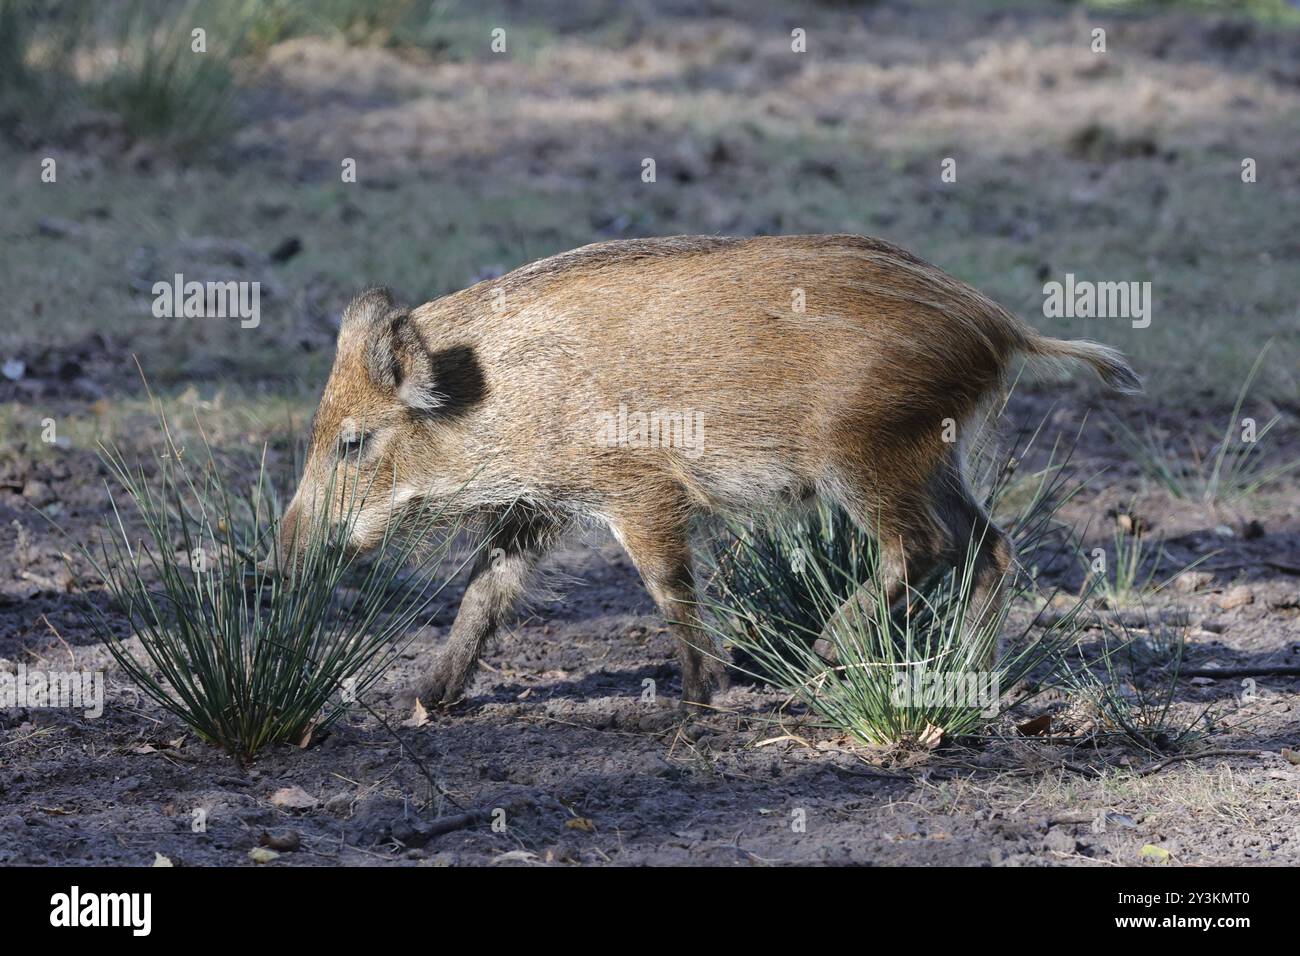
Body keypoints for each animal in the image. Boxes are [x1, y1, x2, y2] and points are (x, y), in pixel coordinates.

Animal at [280, 234, 1140, 707]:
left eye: (352, 443)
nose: (282, 552)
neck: (500, 394)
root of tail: (1000, 325)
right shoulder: (540, 504)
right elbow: (484, 591)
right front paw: (425, 700)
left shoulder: (639, 489)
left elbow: (670, 587)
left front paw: (705, 696)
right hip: (934, 456)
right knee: (991, 548)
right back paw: (969, 678)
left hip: (869, 456)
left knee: (928, 546)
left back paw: (828, 654)